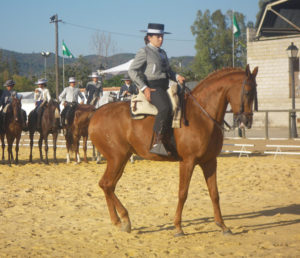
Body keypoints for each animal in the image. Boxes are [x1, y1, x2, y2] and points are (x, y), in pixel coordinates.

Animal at [88, 64, 258, 236]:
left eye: (255, 91)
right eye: (247, 92)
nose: (247, 122)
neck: (201, 115)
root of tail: (96, 114)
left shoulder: (210, 161)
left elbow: (214, 193)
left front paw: (222, 225)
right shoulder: (187, 162)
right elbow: (183, 193)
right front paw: (178, 227)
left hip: (121, 159)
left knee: (108, 185)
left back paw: (118, 221)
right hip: (117, 158)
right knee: (106, 184)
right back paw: (124, 219)